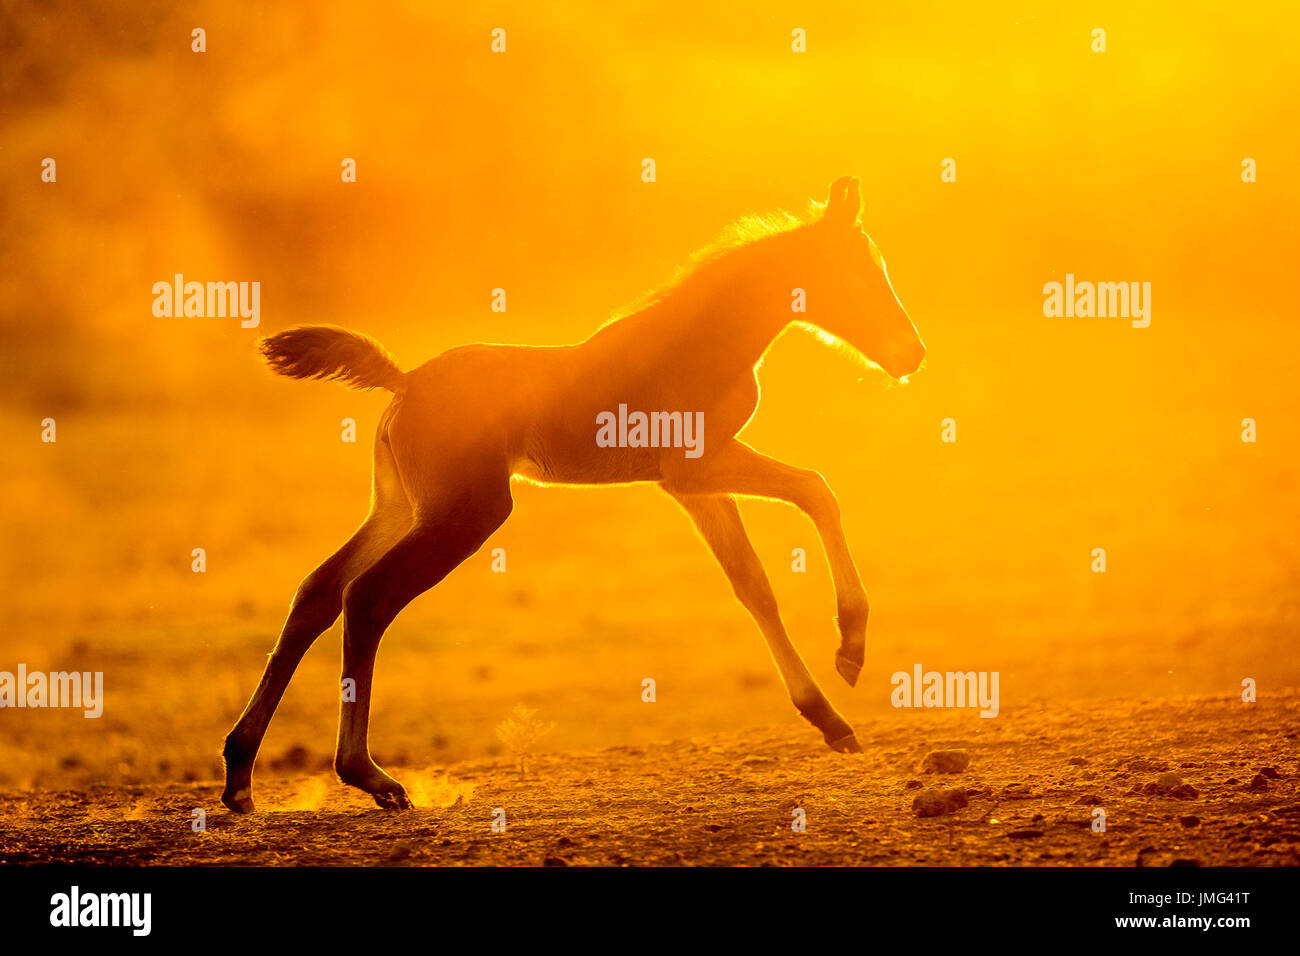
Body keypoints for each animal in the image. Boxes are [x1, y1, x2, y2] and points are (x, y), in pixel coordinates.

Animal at [221, 176, 925, 812]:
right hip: (467, 515)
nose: (912, 355)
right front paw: (851, 648)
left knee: (318, 591)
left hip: (399, 508)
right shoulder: (698, 468)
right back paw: (369, 777)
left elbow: (753, 584)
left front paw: (828, 717)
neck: (702, 340)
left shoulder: (690, 485)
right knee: (366, 597)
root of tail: (405, 381)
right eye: (859, 273)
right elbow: (816, 490)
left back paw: (239, 774)